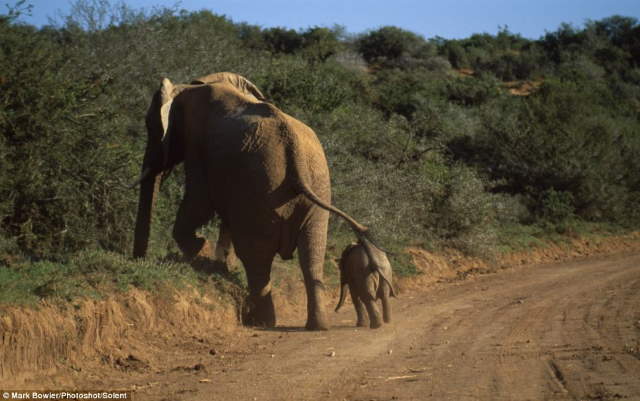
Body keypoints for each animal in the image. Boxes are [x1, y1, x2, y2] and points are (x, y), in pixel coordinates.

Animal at [132, 72, 368, 328]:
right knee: (312, 254)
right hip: (315, 186)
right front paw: (217, 262)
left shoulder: (198, 146)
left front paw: (198, 249)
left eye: (150, 125)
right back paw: (316, 326)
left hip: (261, 189)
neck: (187, 88)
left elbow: (199, 200)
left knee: (256, 257)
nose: (139, 261)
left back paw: (262, 322)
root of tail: (294, 149)